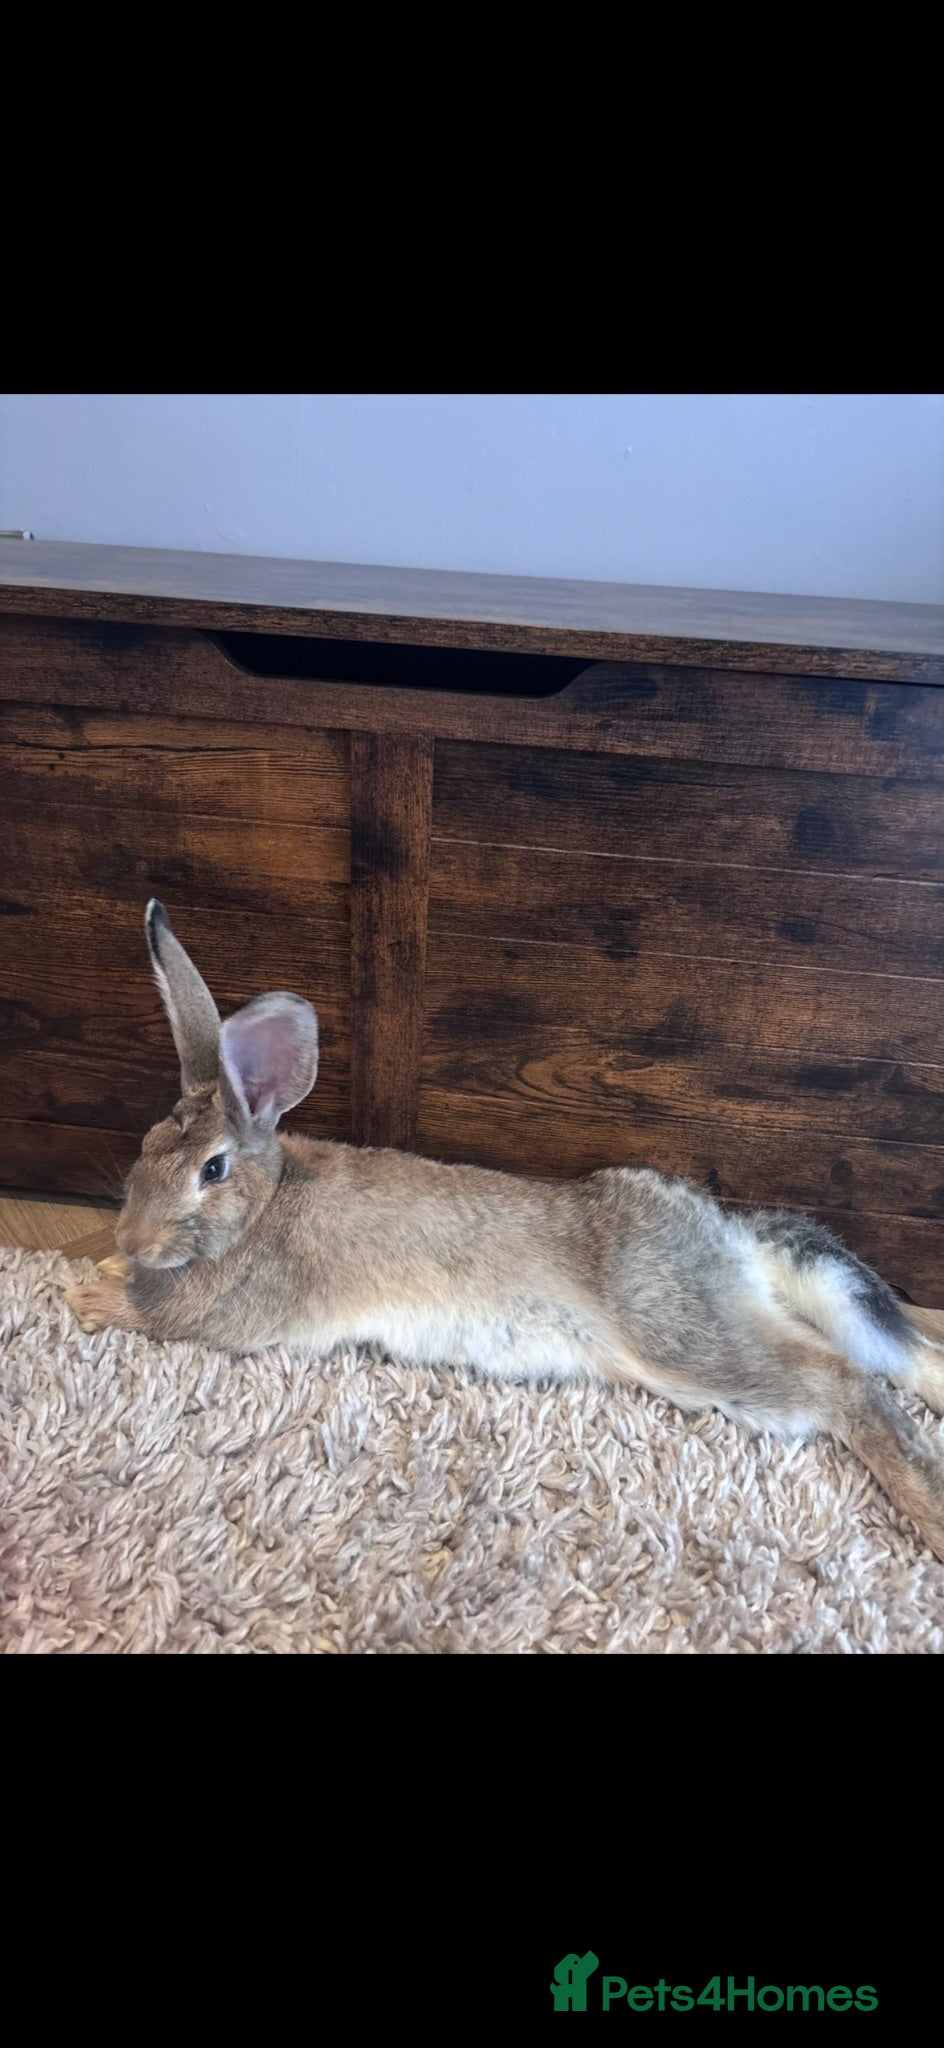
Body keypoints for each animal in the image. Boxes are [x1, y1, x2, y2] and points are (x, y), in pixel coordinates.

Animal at [66, 899, 944, 1563]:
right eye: (145, 1144)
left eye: (211, 1170)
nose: (130, 1244)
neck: (262, 1209)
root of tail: (723, 1231)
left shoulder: (235, 1317)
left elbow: (163, 1319)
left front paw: (91, 1298)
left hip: (685, 1341)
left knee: (846, 1384)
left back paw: (928, 1514)